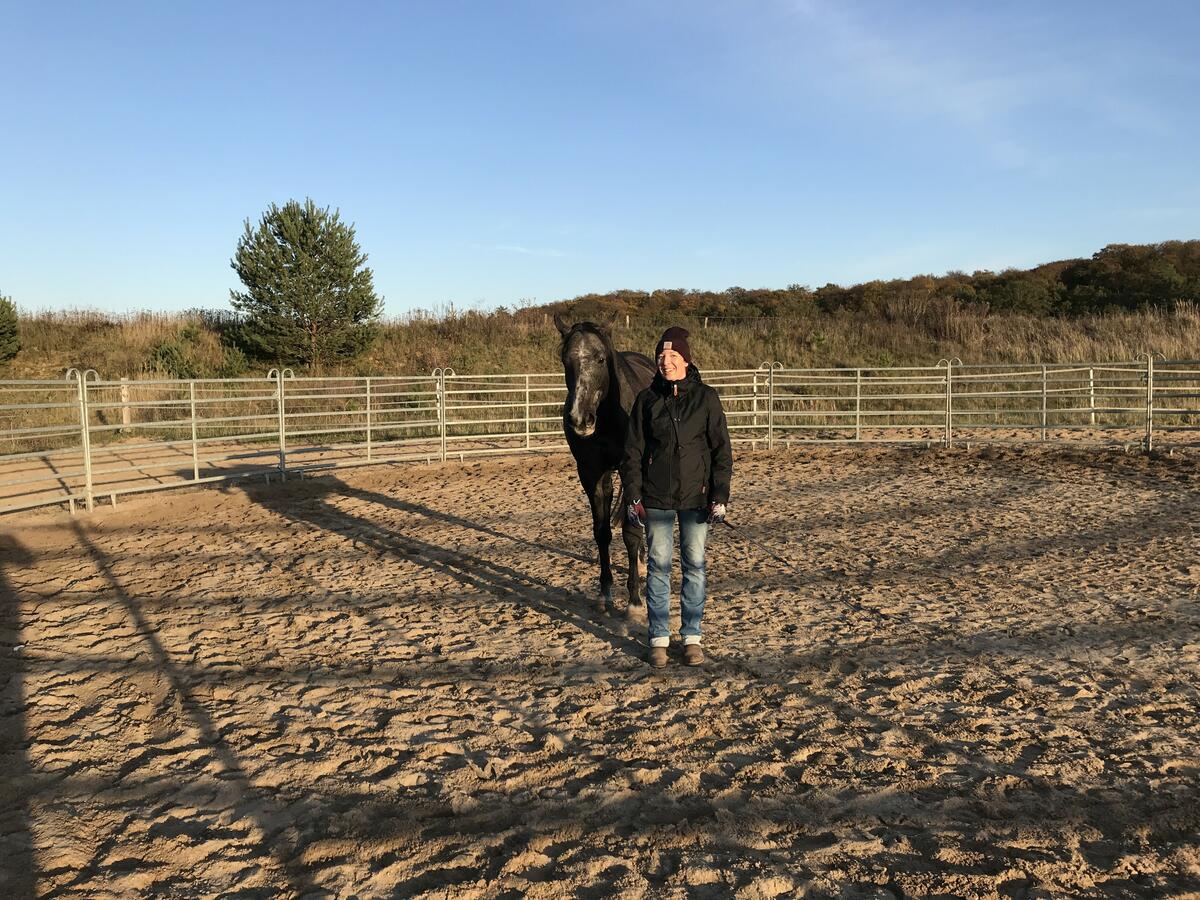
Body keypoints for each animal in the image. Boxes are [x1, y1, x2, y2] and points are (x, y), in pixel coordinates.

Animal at [555, 314, 656, 613]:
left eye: (600, 359)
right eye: (565, 360)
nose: (580, 419)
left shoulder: (632, 469)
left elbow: (631, 532)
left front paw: (635, 600)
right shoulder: (591, 473)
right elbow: (601, 532)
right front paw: (605, 591)